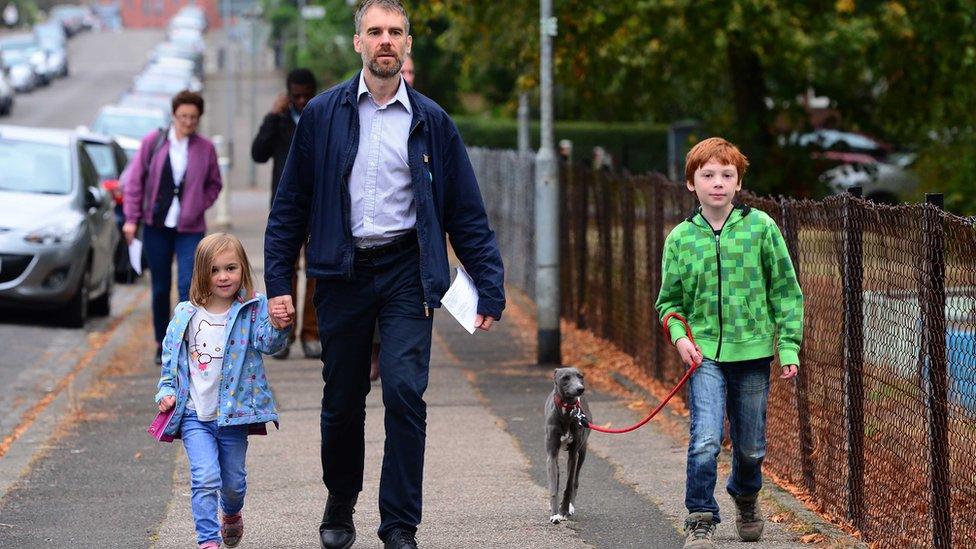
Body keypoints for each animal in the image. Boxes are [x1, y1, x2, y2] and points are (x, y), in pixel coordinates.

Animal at [544, 364, 592, 524]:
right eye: (565, 378)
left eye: (580, 376)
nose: (580, 389)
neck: (566, 412)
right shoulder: (551, 454)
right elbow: (554, 486)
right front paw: (554, 514)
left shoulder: (573, 454)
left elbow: (569, 484)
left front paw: (564, 510)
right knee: (557, 476)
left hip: (583, 452)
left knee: (575, 481)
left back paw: (570, 507)